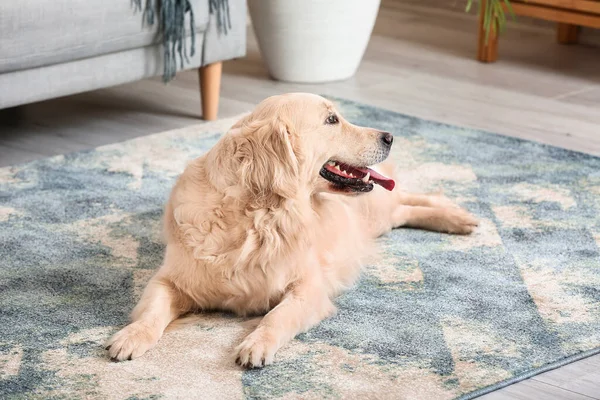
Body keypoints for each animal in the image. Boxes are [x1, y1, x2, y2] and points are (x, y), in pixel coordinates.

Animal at [104, 92, 478, 368]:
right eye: (331, 120)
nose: (389, 136)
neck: (259, 214)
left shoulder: (308, 289)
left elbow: (276, 317)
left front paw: (256, 344)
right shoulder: (170, 279)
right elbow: (152, 309)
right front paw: (131, 336)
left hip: (376, 213)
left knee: (405, 199)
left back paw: (458, 217)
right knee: (404, 205)